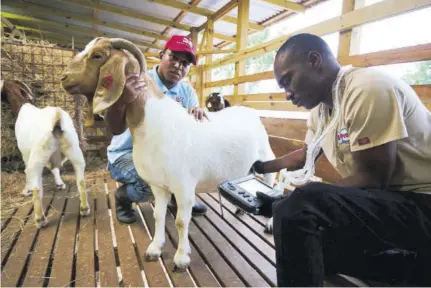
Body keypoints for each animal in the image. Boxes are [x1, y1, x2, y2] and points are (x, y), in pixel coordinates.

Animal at [0, 79, 90, 227]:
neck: (23, 106)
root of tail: (57, 120)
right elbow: (55, 169)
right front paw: (59, 184)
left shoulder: (25, 153)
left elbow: (27, 172)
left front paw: (26, 190)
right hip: (75, 152)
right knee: (81, 181)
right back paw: (84, 208)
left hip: (37, 156)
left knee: (36, 186)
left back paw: (39, 219)